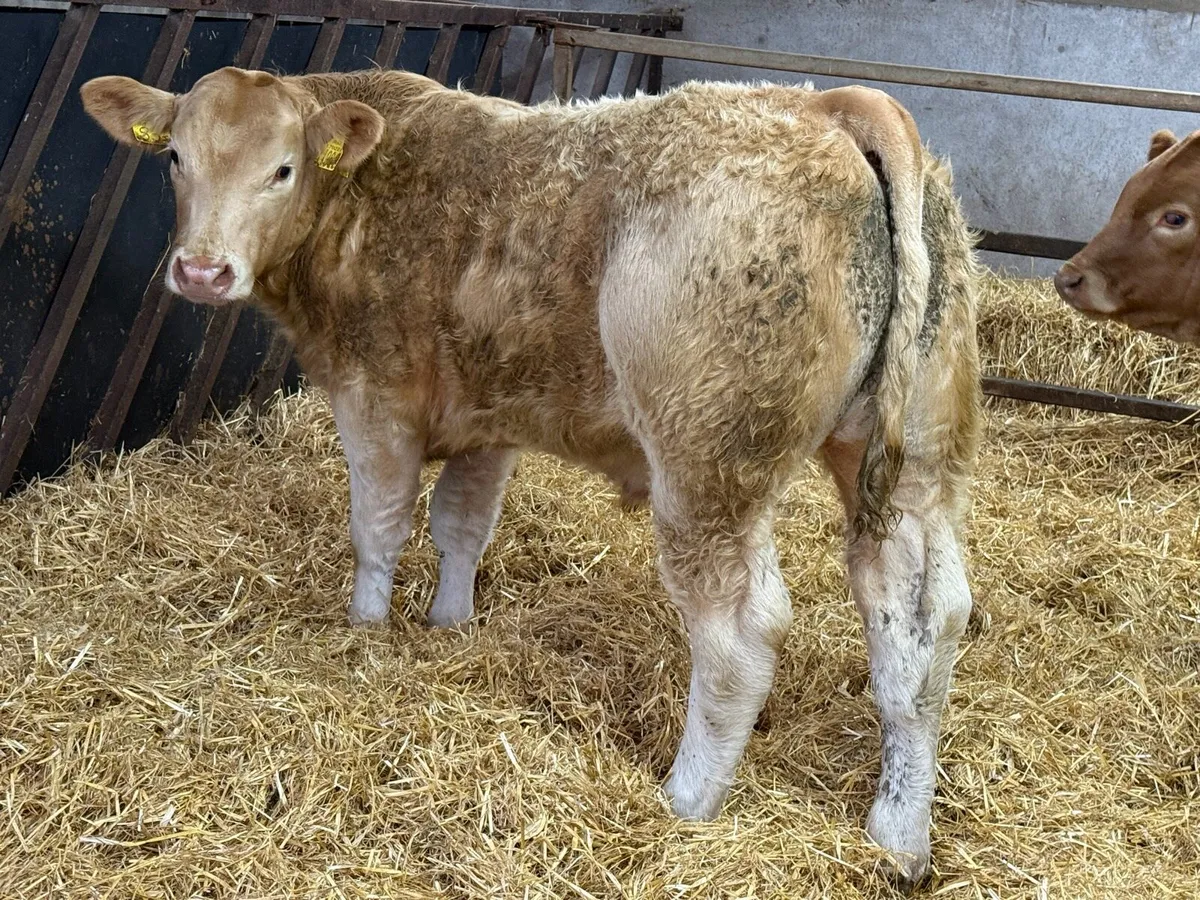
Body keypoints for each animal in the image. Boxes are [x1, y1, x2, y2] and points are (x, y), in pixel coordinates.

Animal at [80, 66, 981, 881]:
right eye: (176, 158)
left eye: (283, 169)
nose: (202, 271)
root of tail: (829, 104)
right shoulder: (490, 416)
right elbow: (461, 525)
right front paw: (449, 625)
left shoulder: (374, 395)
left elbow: (379, 524)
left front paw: (365, 628)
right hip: (913, 464)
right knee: (921, 620)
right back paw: (898, 837)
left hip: (709, 466)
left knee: (740, 635)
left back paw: (686, 802)